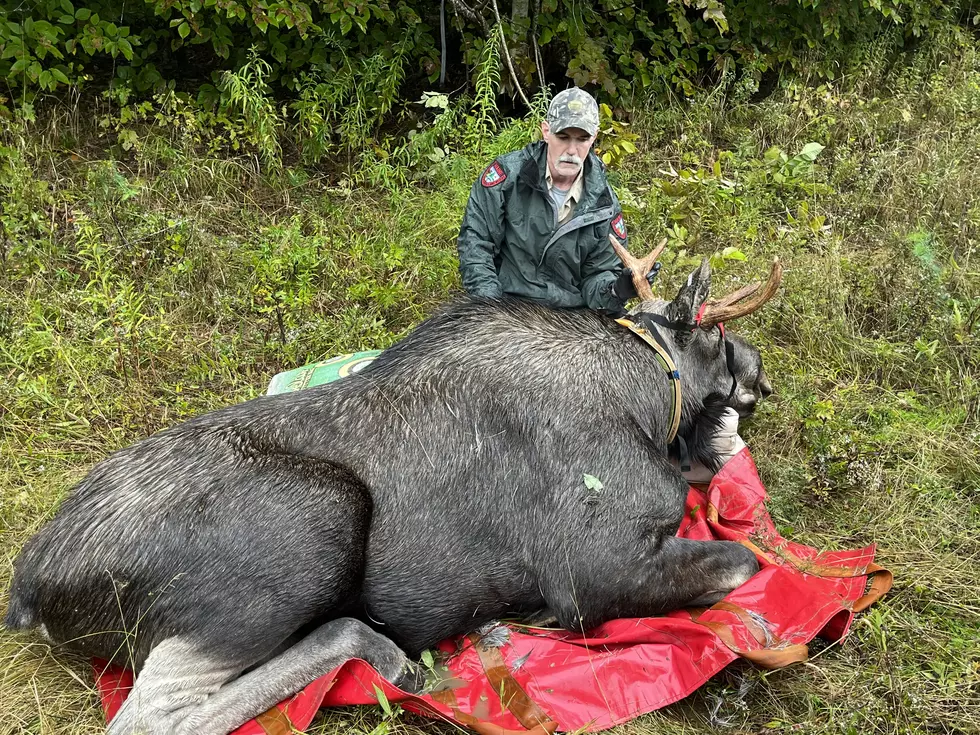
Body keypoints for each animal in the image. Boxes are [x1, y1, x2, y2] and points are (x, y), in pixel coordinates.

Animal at [1, 244, 780, 735]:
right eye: (716, 336)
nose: (762, 375)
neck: (649, 397)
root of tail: (30, 591)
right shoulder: (593, 569)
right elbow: (743, 560)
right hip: (311, 528)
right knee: (151, 717)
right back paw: (385, 653)